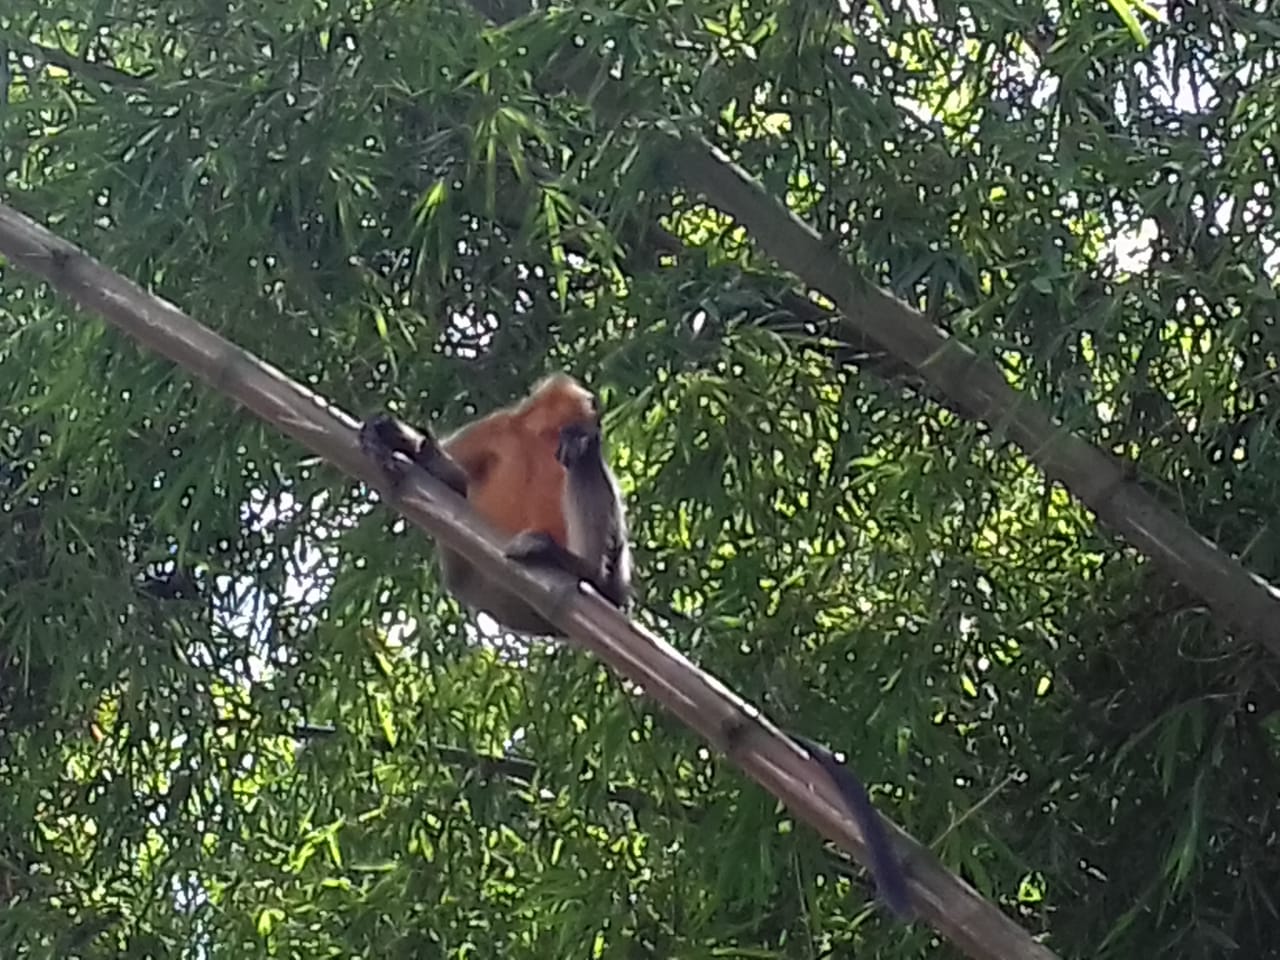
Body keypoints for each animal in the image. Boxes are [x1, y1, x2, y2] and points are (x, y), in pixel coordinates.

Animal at [359, 373, 632, 635]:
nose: (597, 418)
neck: (542, 436)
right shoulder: (497, 426)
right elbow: (453, 483)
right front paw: (398, 440)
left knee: (584, 461)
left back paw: (587, 571)